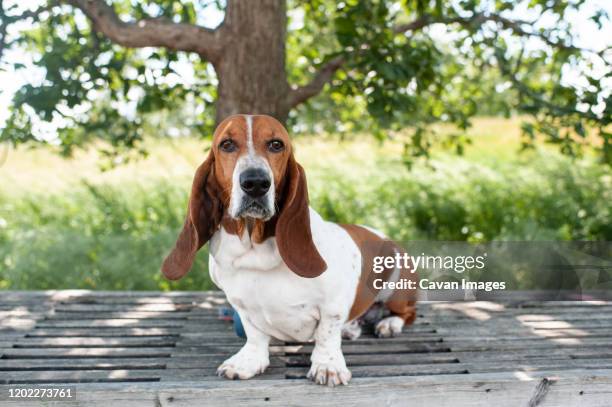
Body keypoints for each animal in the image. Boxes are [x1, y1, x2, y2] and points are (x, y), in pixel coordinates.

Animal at [163, 114, 418, 386]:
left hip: (396, 285)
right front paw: (249, 361)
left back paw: (389, 324)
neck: (255, 249)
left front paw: (328, 366)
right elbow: (255, 335)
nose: (255, 183)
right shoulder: (242, 307)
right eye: (227, 144)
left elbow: (327, 335)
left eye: (276, 144)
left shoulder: (332, 305)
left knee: (408, 313)